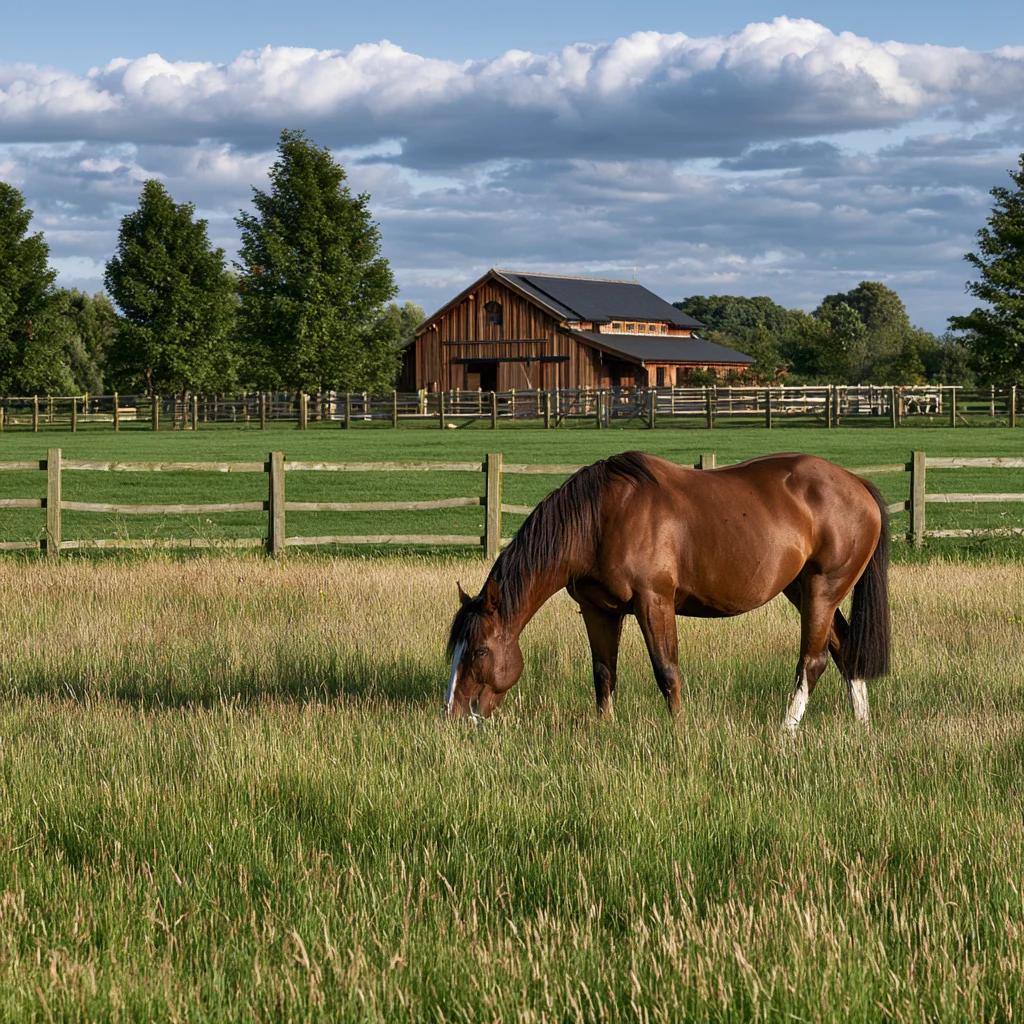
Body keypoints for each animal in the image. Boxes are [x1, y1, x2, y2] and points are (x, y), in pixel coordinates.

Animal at [445, 451, 890, 731]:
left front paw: (677, 732)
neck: (600, 519)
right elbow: (603, 673)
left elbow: (667, 671)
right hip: (802, 590)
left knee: (812, 662)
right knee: (845, 650)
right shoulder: (598, 610)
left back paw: (786, 731)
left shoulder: (653, 602)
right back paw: (862, 727)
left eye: (480, 650)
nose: (454, 714)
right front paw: (605, 730)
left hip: (822, 590)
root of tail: (857, 483)